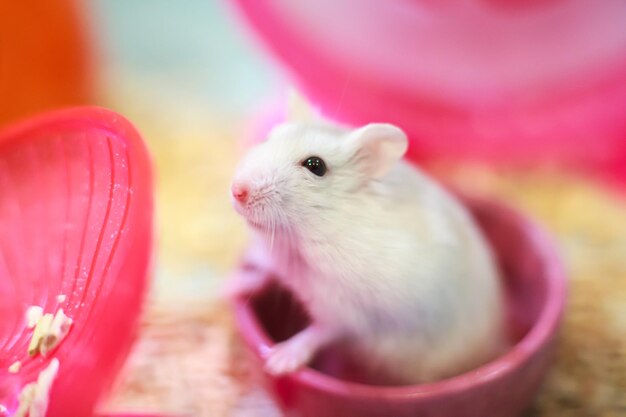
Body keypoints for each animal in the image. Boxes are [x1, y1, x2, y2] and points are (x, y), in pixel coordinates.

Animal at [227, 121, 504, 384]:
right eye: (267, 138)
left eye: (316, 165)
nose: (237, 191)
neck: (300, 241)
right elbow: (267, 275)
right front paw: (230, 287)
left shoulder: (346, 313)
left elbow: (318, 332)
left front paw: (278, 362)